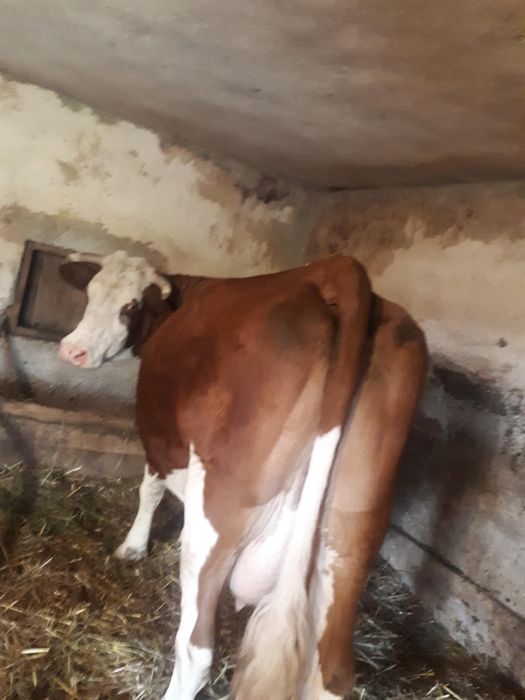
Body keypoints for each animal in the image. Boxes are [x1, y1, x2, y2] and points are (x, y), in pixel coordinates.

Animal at [58, 250, 427, 700]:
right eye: (91, 293)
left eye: (130, 306)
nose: (72, 351)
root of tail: (338, 270)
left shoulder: (162, 439)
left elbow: (150, 489)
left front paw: (132, 548)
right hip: (351, 536)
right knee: (332, 673)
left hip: (220, 514)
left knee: (196, 650)